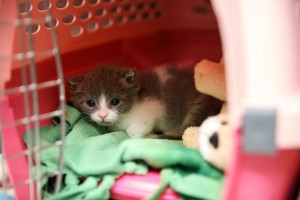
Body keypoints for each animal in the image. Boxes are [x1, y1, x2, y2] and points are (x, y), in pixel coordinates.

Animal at [67, 65, 223, 138]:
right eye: (91, 103)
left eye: (115, 101)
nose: (102, 115)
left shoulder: (154, 106)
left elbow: (132, 131)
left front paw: (149, 134)